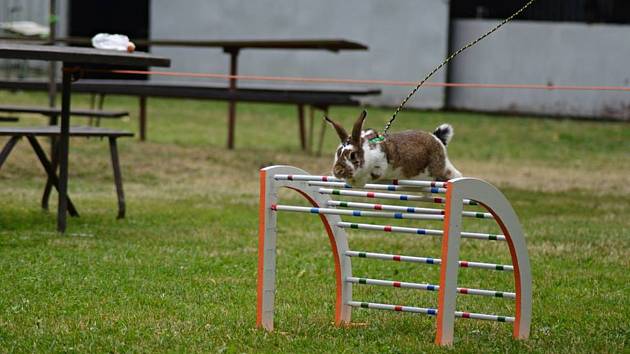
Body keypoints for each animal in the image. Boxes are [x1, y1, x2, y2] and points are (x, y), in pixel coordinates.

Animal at [328, 110, 462, 188]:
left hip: (442, 169)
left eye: (353, 155)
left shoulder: (379, 166)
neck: (366, 152)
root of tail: (437, 138)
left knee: (456, 175)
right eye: (338, 152)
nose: (337, 171)